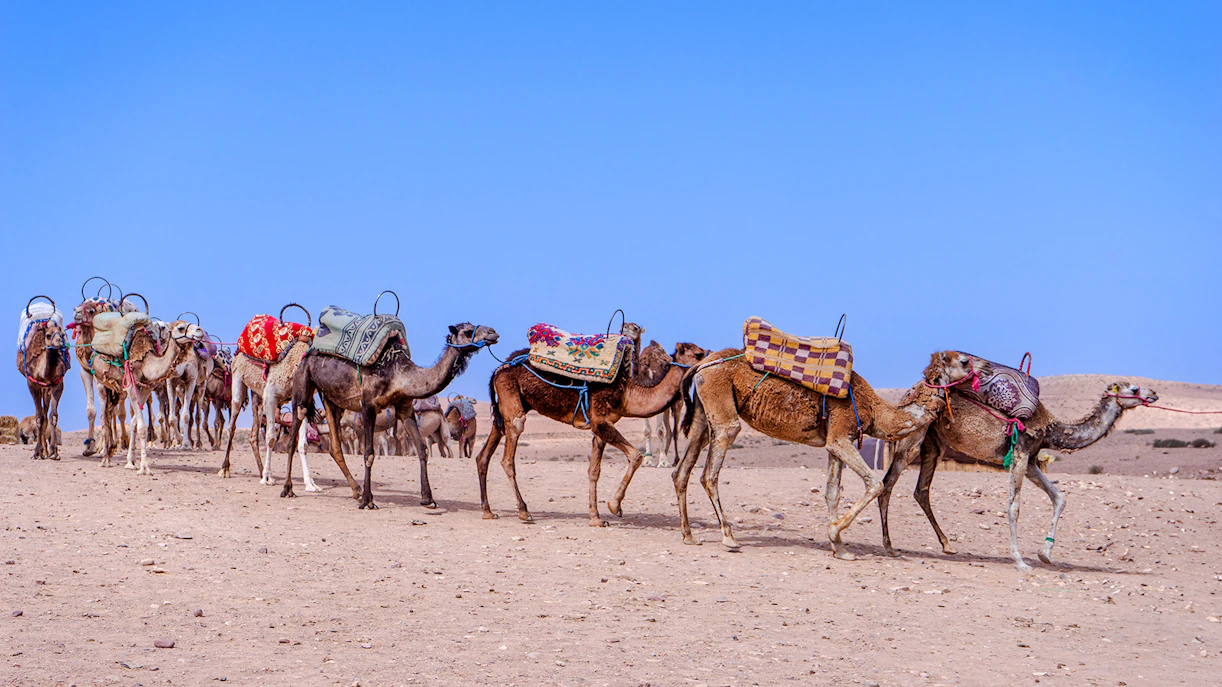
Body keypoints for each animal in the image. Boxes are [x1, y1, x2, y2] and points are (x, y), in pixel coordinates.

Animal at [17, 298, 70, 460]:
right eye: (48, 335)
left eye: (62, 334)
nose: (59, 342)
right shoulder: (32, 383)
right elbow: (39, 417)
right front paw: (37, 452)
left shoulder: (57, 383)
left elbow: (53, 416)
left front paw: (53, 452)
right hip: (40, 387)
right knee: (42, 415)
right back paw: (41, 452)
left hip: (46, 389)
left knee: (46, 413)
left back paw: (46, 451)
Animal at [283, 322, 500, 509]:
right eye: (468, 331)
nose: (493, 333)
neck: (399, 375)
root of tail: (308, 352)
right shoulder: (368, 406)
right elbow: (368, 454)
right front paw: (368, 501)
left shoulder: (405, 408)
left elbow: (421, 448)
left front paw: (428, 498)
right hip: (303, 381)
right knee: (294, 433)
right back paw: (288, 489)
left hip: (332, 399)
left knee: (335, 446)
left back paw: (356, 490)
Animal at [476, 338, 708, 527]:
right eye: (698, 353)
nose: (710, 357)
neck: (627, 392)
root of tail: (498, 369)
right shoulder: (601, 423)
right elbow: (636, 456)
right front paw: (615, 506)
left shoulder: (601, 426)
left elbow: (594, 471)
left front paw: (596, 518)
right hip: (513, 406)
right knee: (508, 457)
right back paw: (524, 512)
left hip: (507, 409)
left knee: (483, 455)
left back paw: (488, 511)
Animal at [675, 350, 980, 558]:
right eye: (965, 361)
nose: (982, 370)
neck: (875, 410)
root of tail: (702, 364)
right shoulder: (840, 435)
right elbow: (875, 484)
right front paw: (835, 535)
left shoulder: (837, 441)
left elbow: (832, 493)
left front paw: (839, 548)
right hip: (723, 412)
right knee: (709, 473)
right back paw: (729, 537)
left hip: (702, 414)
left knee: (681, 472)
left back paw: (689, 536)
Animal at [877, 380, 1158, 570]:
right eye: (1134, 389)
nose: (1154, 394)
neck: (1051, 429)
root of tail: (908, 393)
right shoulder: (1020, 452)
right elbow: (1014, 506)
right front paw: (1020, 560)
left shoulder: (1032, 460)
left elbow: (1059, 497)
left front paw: (1045, 553)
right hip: (913, 436)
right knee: (887, 483)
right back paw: (890, 548)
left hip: (933, 443)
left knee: (921, 490)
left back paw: (948, 545)